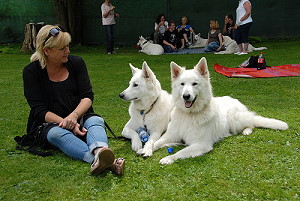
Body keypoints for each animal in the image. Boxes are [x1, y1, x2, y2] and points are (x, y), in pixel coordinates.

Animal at [154, 57, 290, 164]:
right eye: (182, 84)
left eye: (194, 84)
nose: (186, 96)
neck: (189, 115)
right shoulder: (171, 136)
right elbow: (156, 142)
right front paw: (149, 150)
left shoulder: (201, 144)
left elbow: (181, 152)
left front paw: (168, 158)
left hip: (235, 119)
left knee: (251, 123)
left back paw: (247, 131)